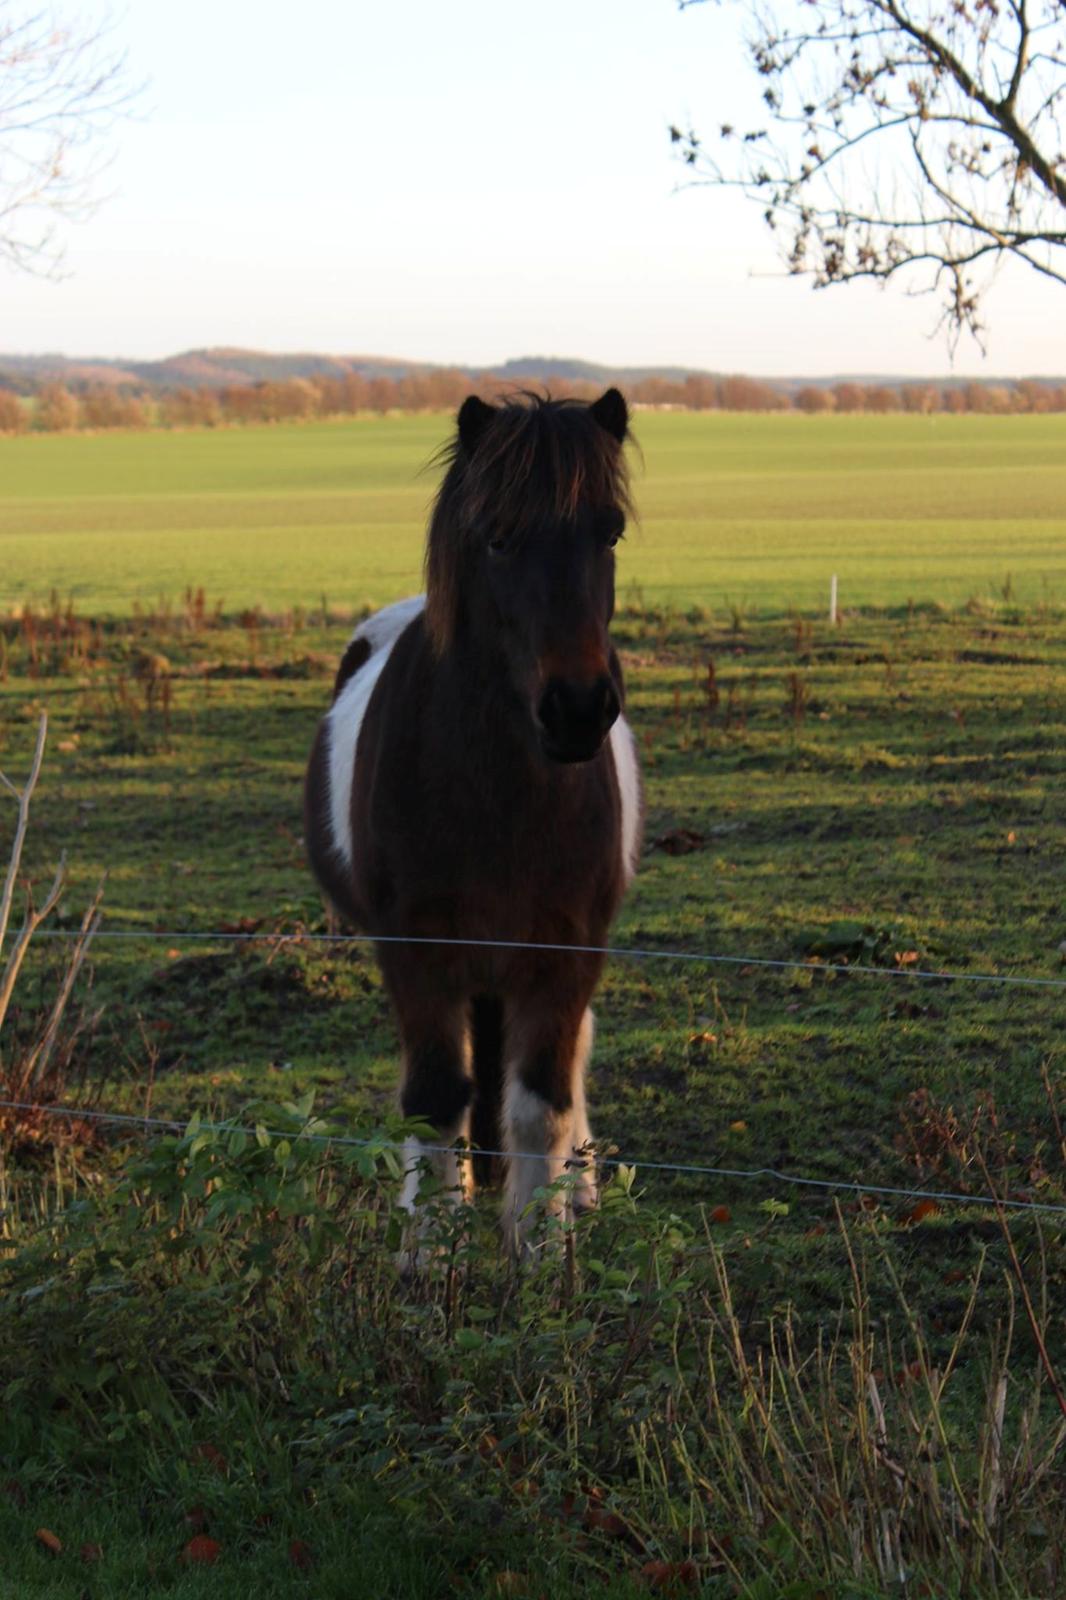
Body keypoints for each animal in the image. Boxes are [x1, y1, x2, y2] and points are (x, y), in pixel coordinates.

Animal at [302, 387, 643, 1248]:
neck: (501, 794)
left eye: (610, 530)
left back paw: (577, 1188)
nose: (577, 709)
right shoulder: (418, 950)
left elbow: (540, 1105)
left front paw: (543, 1247)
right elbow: (432, 1104)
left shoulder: (565, 950)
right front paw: (429, 1250)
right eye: (496, 535)